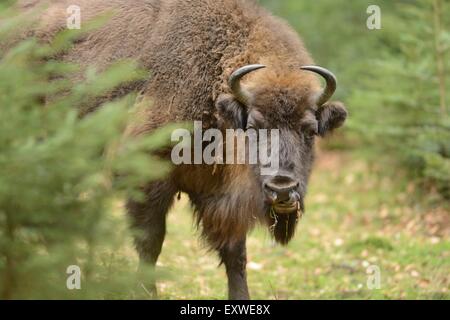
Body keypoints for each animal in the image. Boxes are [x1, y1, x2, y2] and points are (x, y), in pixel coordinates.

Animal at [11, 0, 348, 300]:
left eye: (309, 130)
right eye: (253, 125)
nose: (282, 188)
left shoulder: (218, 196)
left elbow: (235, 252)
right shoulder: (149, 177)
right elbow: (151, 243)